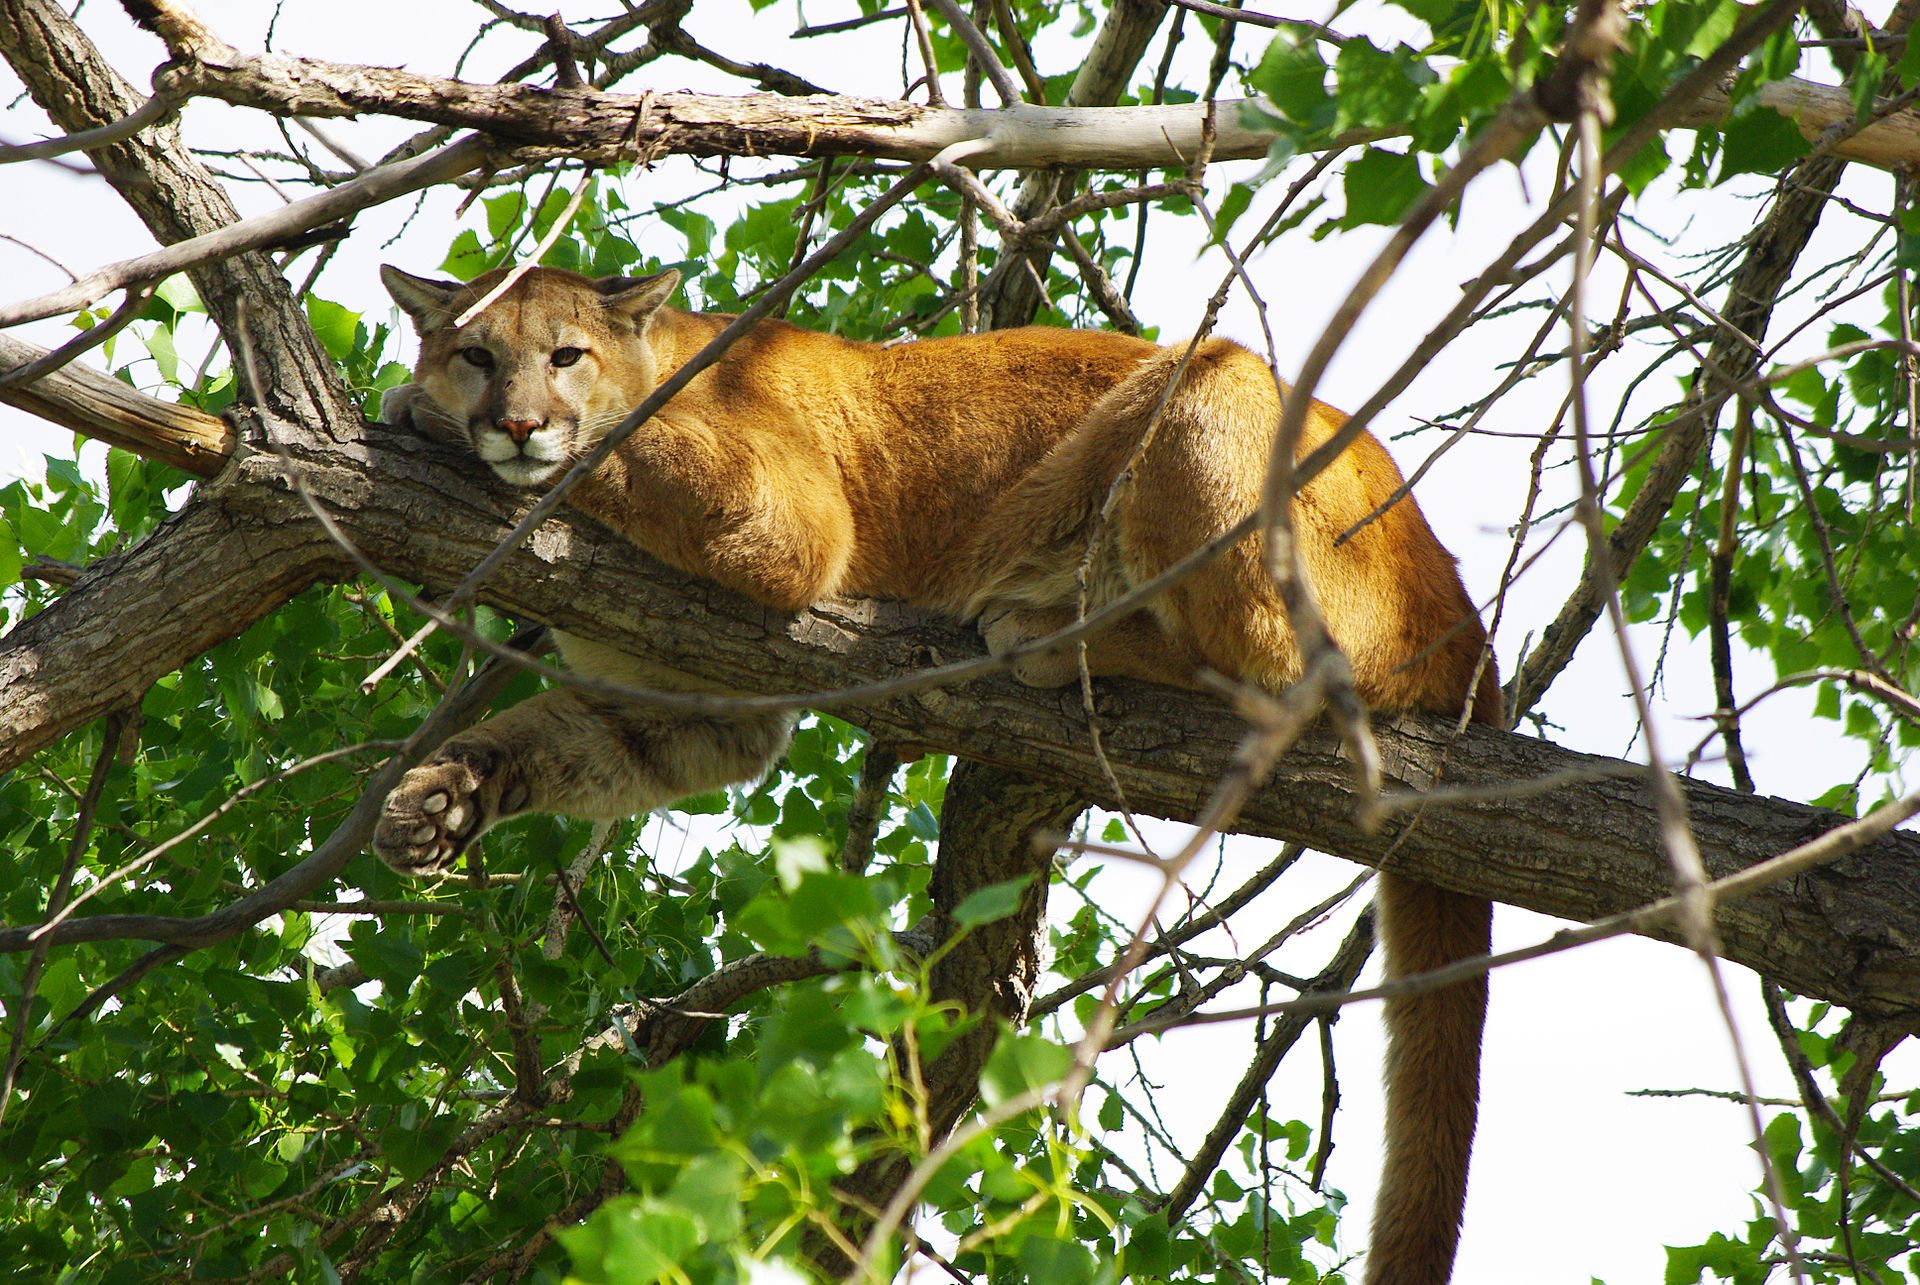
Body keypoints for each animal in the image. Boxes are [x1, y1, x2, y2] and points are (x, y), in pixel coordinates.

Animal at [374, 263, 1505, 1283]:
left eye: (565, 356)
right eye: (477, 355)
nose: (515, 422)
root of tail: (1460, 605)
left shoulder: (782, 521)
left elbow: (617, 444)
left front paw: (428, 417)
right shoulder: (687, 705)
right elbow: (547, 743)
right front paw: (437, 803)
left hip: (1208, 387)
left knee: (1280, 671)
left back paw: (1042, 627)